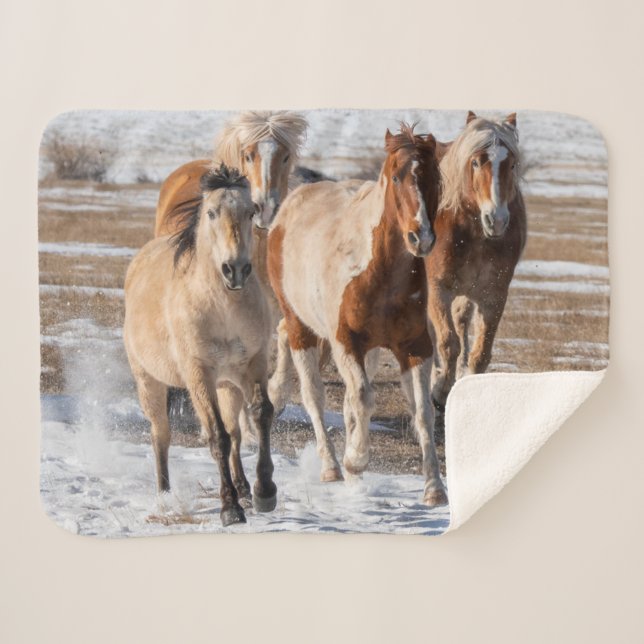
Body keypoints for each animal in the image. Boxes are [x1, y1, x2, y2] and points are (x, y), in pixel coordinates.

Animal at [124, 165, 277, 527]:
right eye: (211, 213)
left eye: (250, 212)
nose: (235, 270)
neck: (223, 308)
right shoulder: (198, 375)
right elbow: (216, 436)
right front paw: (229, 509)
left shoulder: (254, 364)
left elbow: (261, 414)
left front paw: (264, 493)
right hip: (149, 382)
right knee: (161, 435)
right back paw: (165, 495)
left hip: (228, 384)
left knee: (236, 432)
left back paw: (245, 488)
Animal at [268, 124, 448, 507]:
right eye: (396, 176)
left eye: (433, 178)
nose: (421, 237)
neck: (378, 272)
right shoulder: (346, 343)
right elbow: (363, 397)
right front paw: (355, 460)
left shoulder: (415, 347)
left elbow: (422, 412)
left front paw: (434, 489)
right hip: (302, 328)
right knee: (313, 394)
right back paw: (331, 466)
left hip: (368, 349)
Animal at [426, 111, 527, 440]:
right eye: (475, 162)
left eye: (511, 164)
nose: (497, 220)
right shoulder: (438, 289)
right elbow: (448, 343)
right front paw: (439, 393)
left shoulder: (493, 295)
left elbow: (480, 352)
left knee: (461, 325)